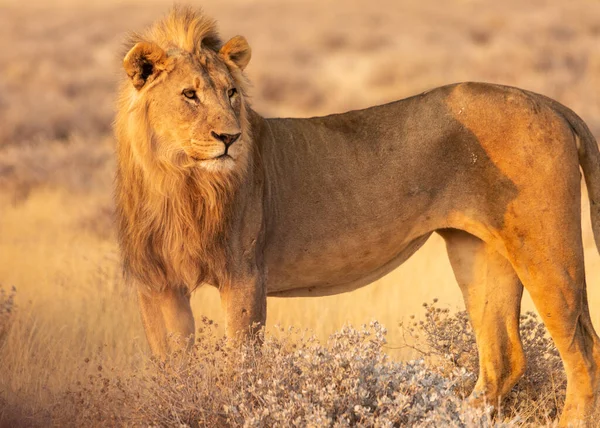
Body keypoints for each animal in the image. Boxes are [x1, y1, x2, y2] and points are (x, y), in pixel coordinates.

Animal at [116, 5, 600, 424]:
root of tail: (549, 102)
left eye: (232, 93)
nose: (231, 138)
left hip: (545, 249)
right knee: (504, 358)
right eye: (189, 95)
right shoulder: (158, 284)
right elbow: (173, 371)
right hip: (479, 252)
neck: (180, 182)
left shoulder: (244, 275)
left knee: (583, 350)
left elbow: (242, 370)